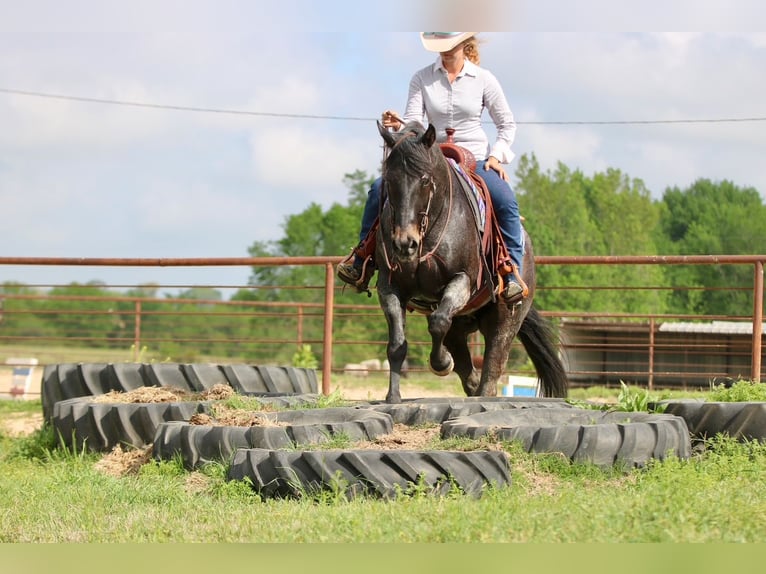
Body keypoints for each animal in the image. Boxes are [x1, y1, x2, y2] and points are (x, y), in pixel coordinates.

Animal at [374, 120, 568, 403]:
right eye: (389, 180)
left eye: (425, 180)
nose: (404, 243)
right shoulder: (390, 287)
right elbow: (397, 344)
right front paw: (393, 396)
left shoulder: (463, 280)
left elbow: (438, 323)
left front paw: (441, 363)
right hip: (463, 322)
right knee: (463, 355)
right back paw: (472, 384)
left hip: (506, 317)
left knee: (494, 359)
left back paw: (483, 391)